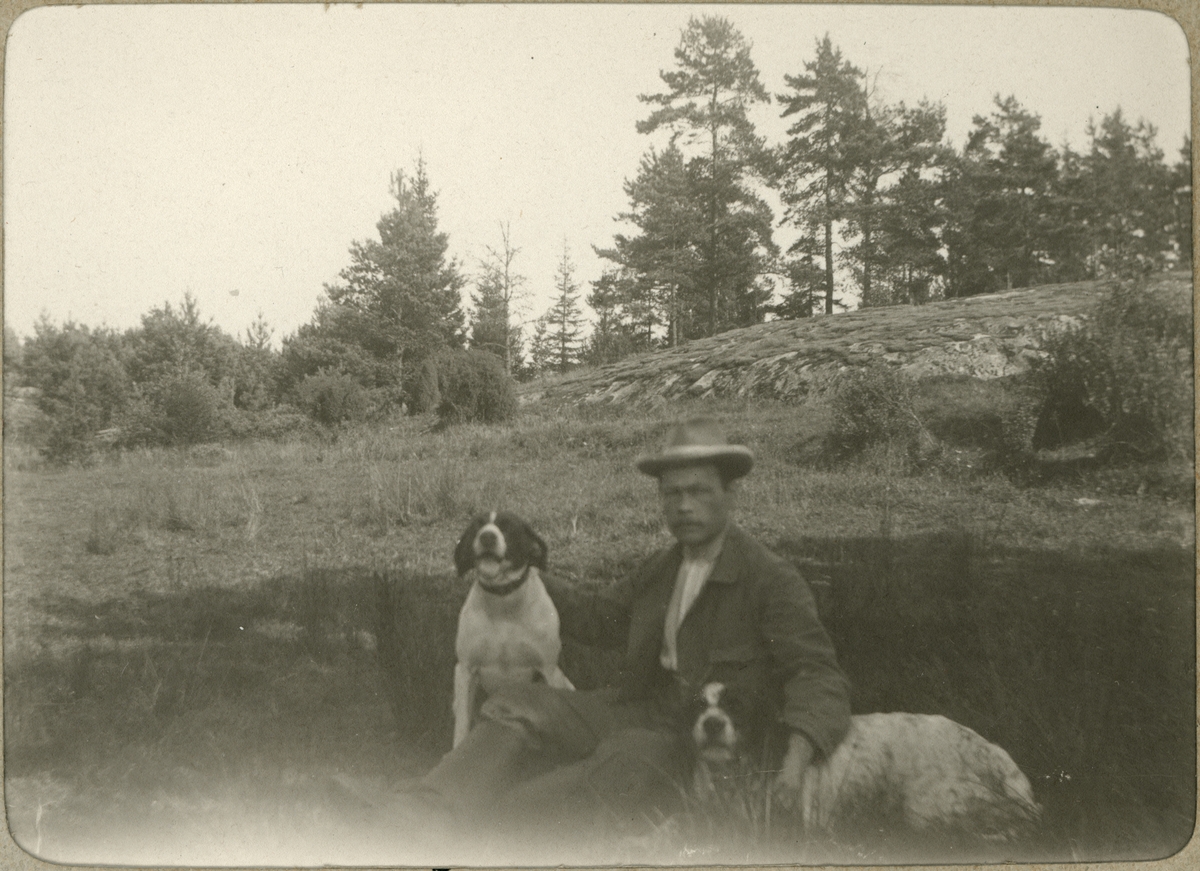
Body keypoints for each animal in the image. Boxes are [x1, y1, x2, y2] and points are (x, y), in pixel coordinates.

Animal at [452, 511, 574, 747]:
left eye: (508, 526)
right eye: (477, 526)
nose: (487, 537)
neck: (503, 604)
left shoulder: (549, 669)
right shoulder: (465, 670)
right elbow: (462, 725)